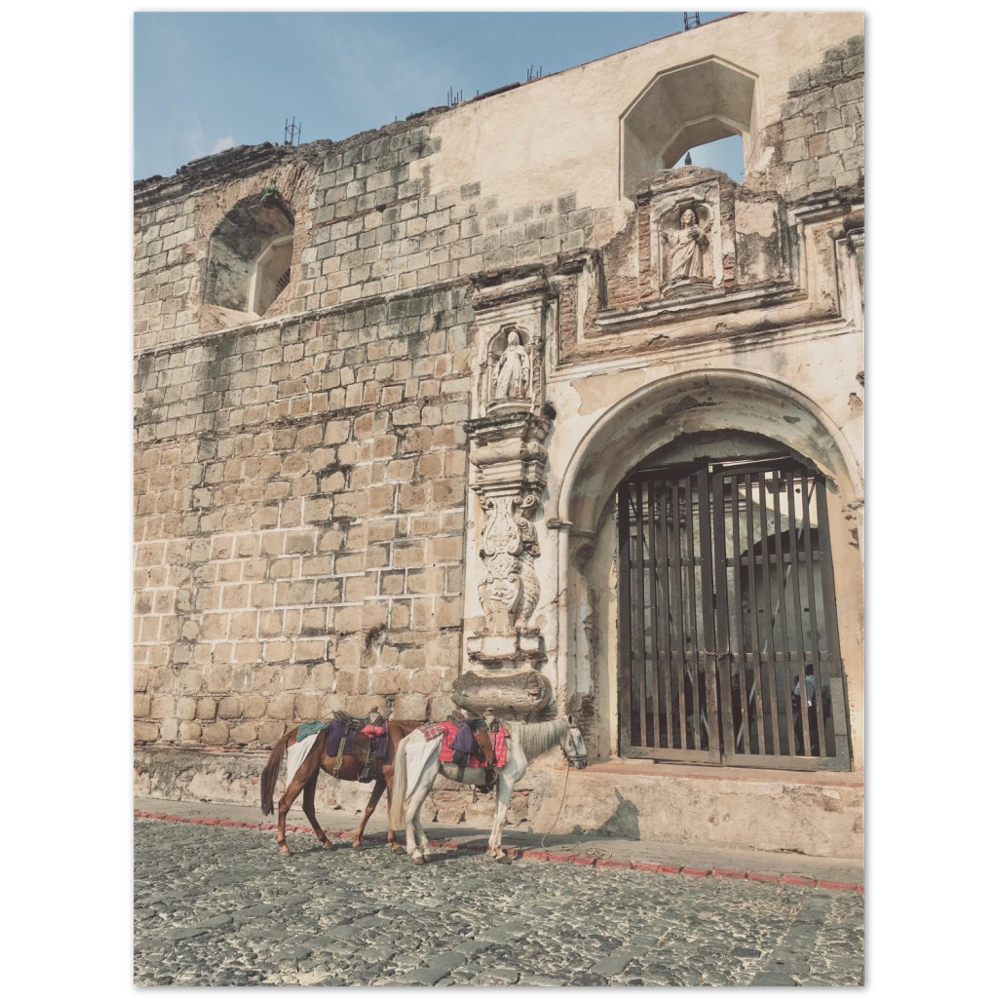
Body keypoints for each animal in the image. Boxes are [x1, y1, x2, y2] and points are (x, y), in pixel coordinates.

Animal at [260, 720, 420, 852]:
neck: (403, 735)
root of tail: (291, 733)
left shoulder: (381, 780)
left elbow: (370, 808)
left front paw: (357, 841)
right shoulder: (391, 778)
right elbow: (391, 809)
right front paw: (395, 843)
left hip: (312, 773)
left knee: (308, 807)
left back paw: (326, 842)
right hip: (302, 774)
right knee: (285, 803)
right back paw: (284, 845)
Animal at [388, 716, 584, 864]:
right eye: (579, 737)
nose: (584, 762)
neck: (517, 742)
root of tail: (410, 738)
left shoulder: (500, 784)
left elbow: (497, 816)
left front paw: (493, 849)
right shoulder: (508, 782)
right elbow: (503, 818)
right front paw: (500, 854)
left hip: (426, 782)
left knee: (415, 813)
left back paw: (427, 851)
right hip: (422, 780)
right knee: (409, 811)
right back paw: (415, 853)